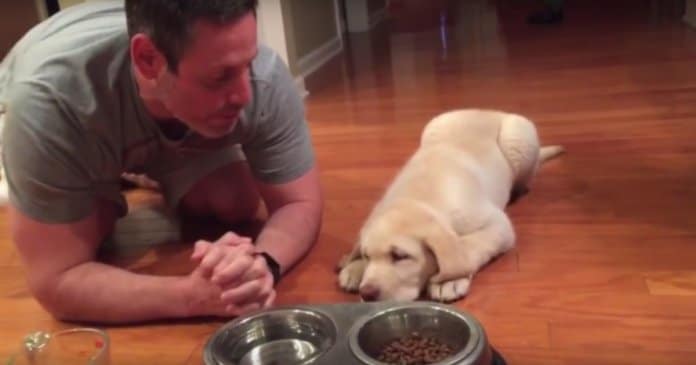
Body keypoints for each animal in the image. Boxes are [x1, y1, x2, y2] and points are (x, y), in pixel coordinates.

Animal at [338, 108, 564, 302]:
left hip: (518, 139)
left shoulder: (497, 224)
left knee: (524, 180)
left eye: (400, 256)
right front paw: (354, 266)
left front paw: (449, 280)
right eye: (367, 256)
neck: (417, 198)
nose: (366, 294)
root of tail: (485, 109)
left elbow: (470, 245)